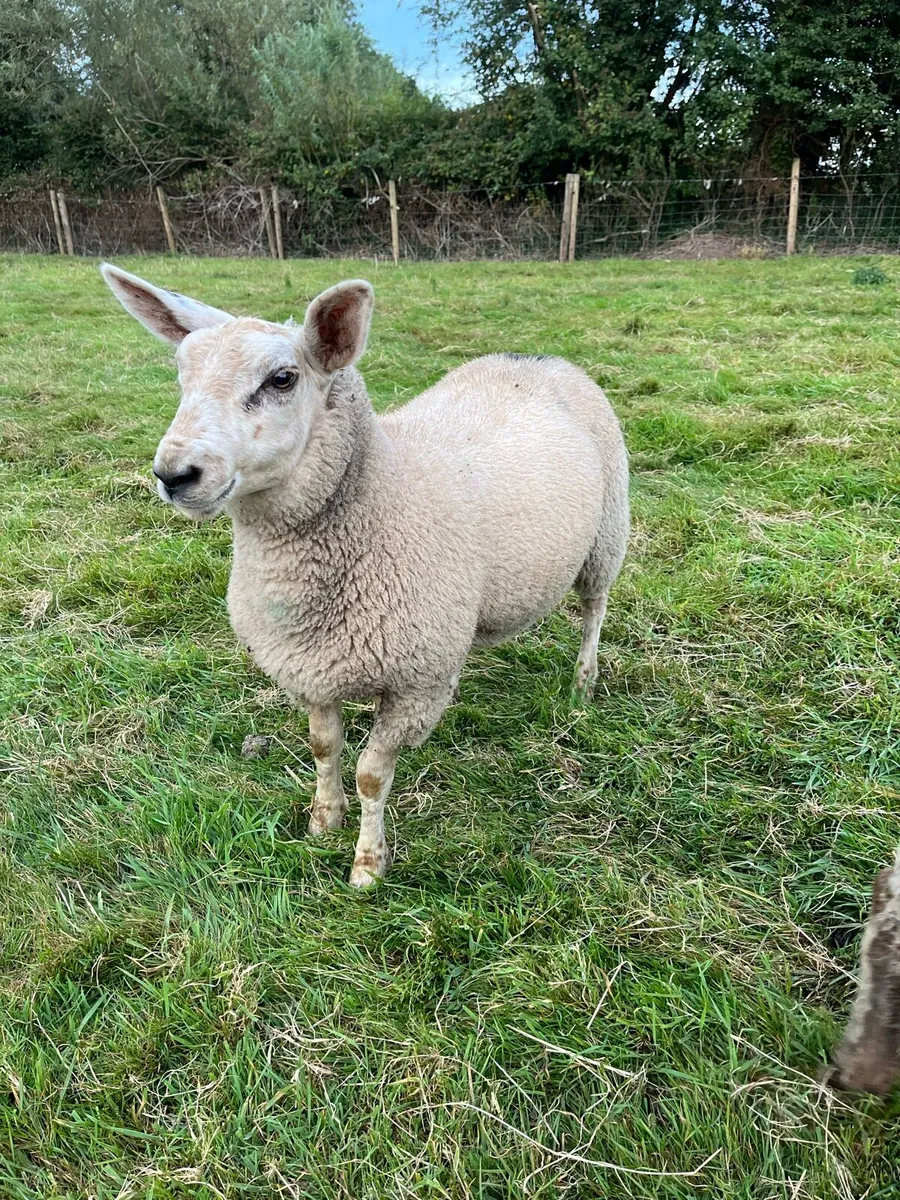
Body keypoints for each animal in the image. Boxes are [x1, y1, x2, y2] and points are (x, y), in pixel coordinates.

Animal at [100, 264, 630, 886]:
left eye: (283, 378)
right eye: (182, 374)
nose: (174, 474)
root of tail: (536, 356)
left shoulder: (413, 684)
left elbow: (372, 774)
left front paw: (367, 865)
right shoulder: (310, 669)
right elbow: (324, 748)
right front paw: (323, 820)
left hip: (607, 535)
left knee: (594, 609)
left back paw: (583, 683)